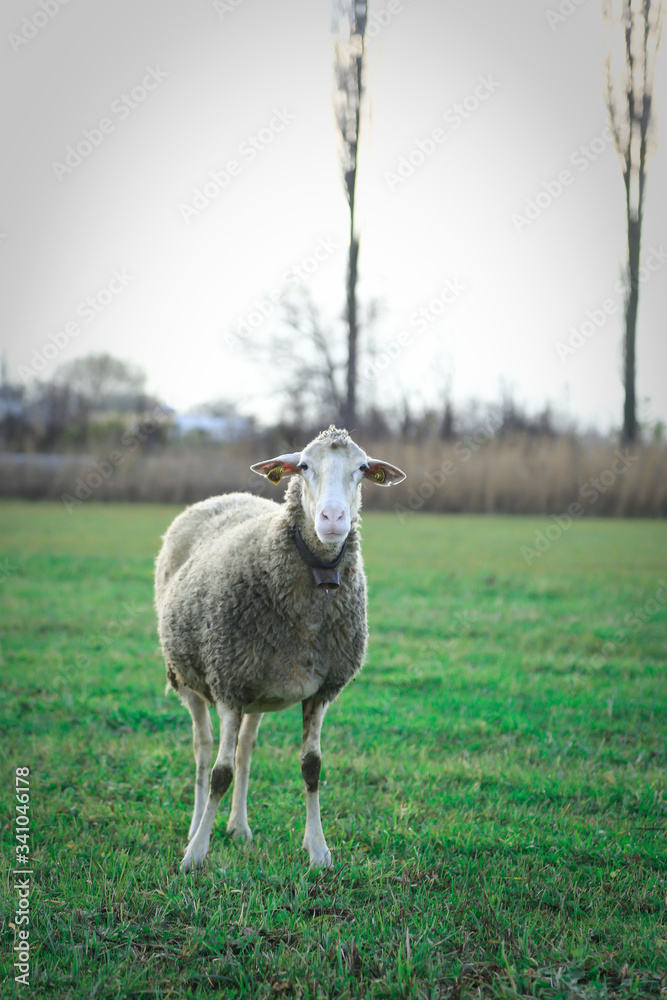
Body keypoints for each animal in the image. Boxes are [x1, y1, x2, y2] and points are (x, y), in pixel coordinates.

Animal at [154, 425, 405, 870]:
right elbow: (219, 773)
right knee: (203, 753)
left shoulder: (320, 690)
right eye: (304, 466)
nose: (333, 519)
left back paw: (238, 827)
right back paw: (195, 827)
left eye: (362, 469)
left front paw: (318, 849)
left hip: (258, 688)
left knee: (244, 751)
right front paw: (196, 855)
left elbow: (312, 767)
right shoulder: (228, 683)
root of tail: (221, 497)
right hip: (189, 678)